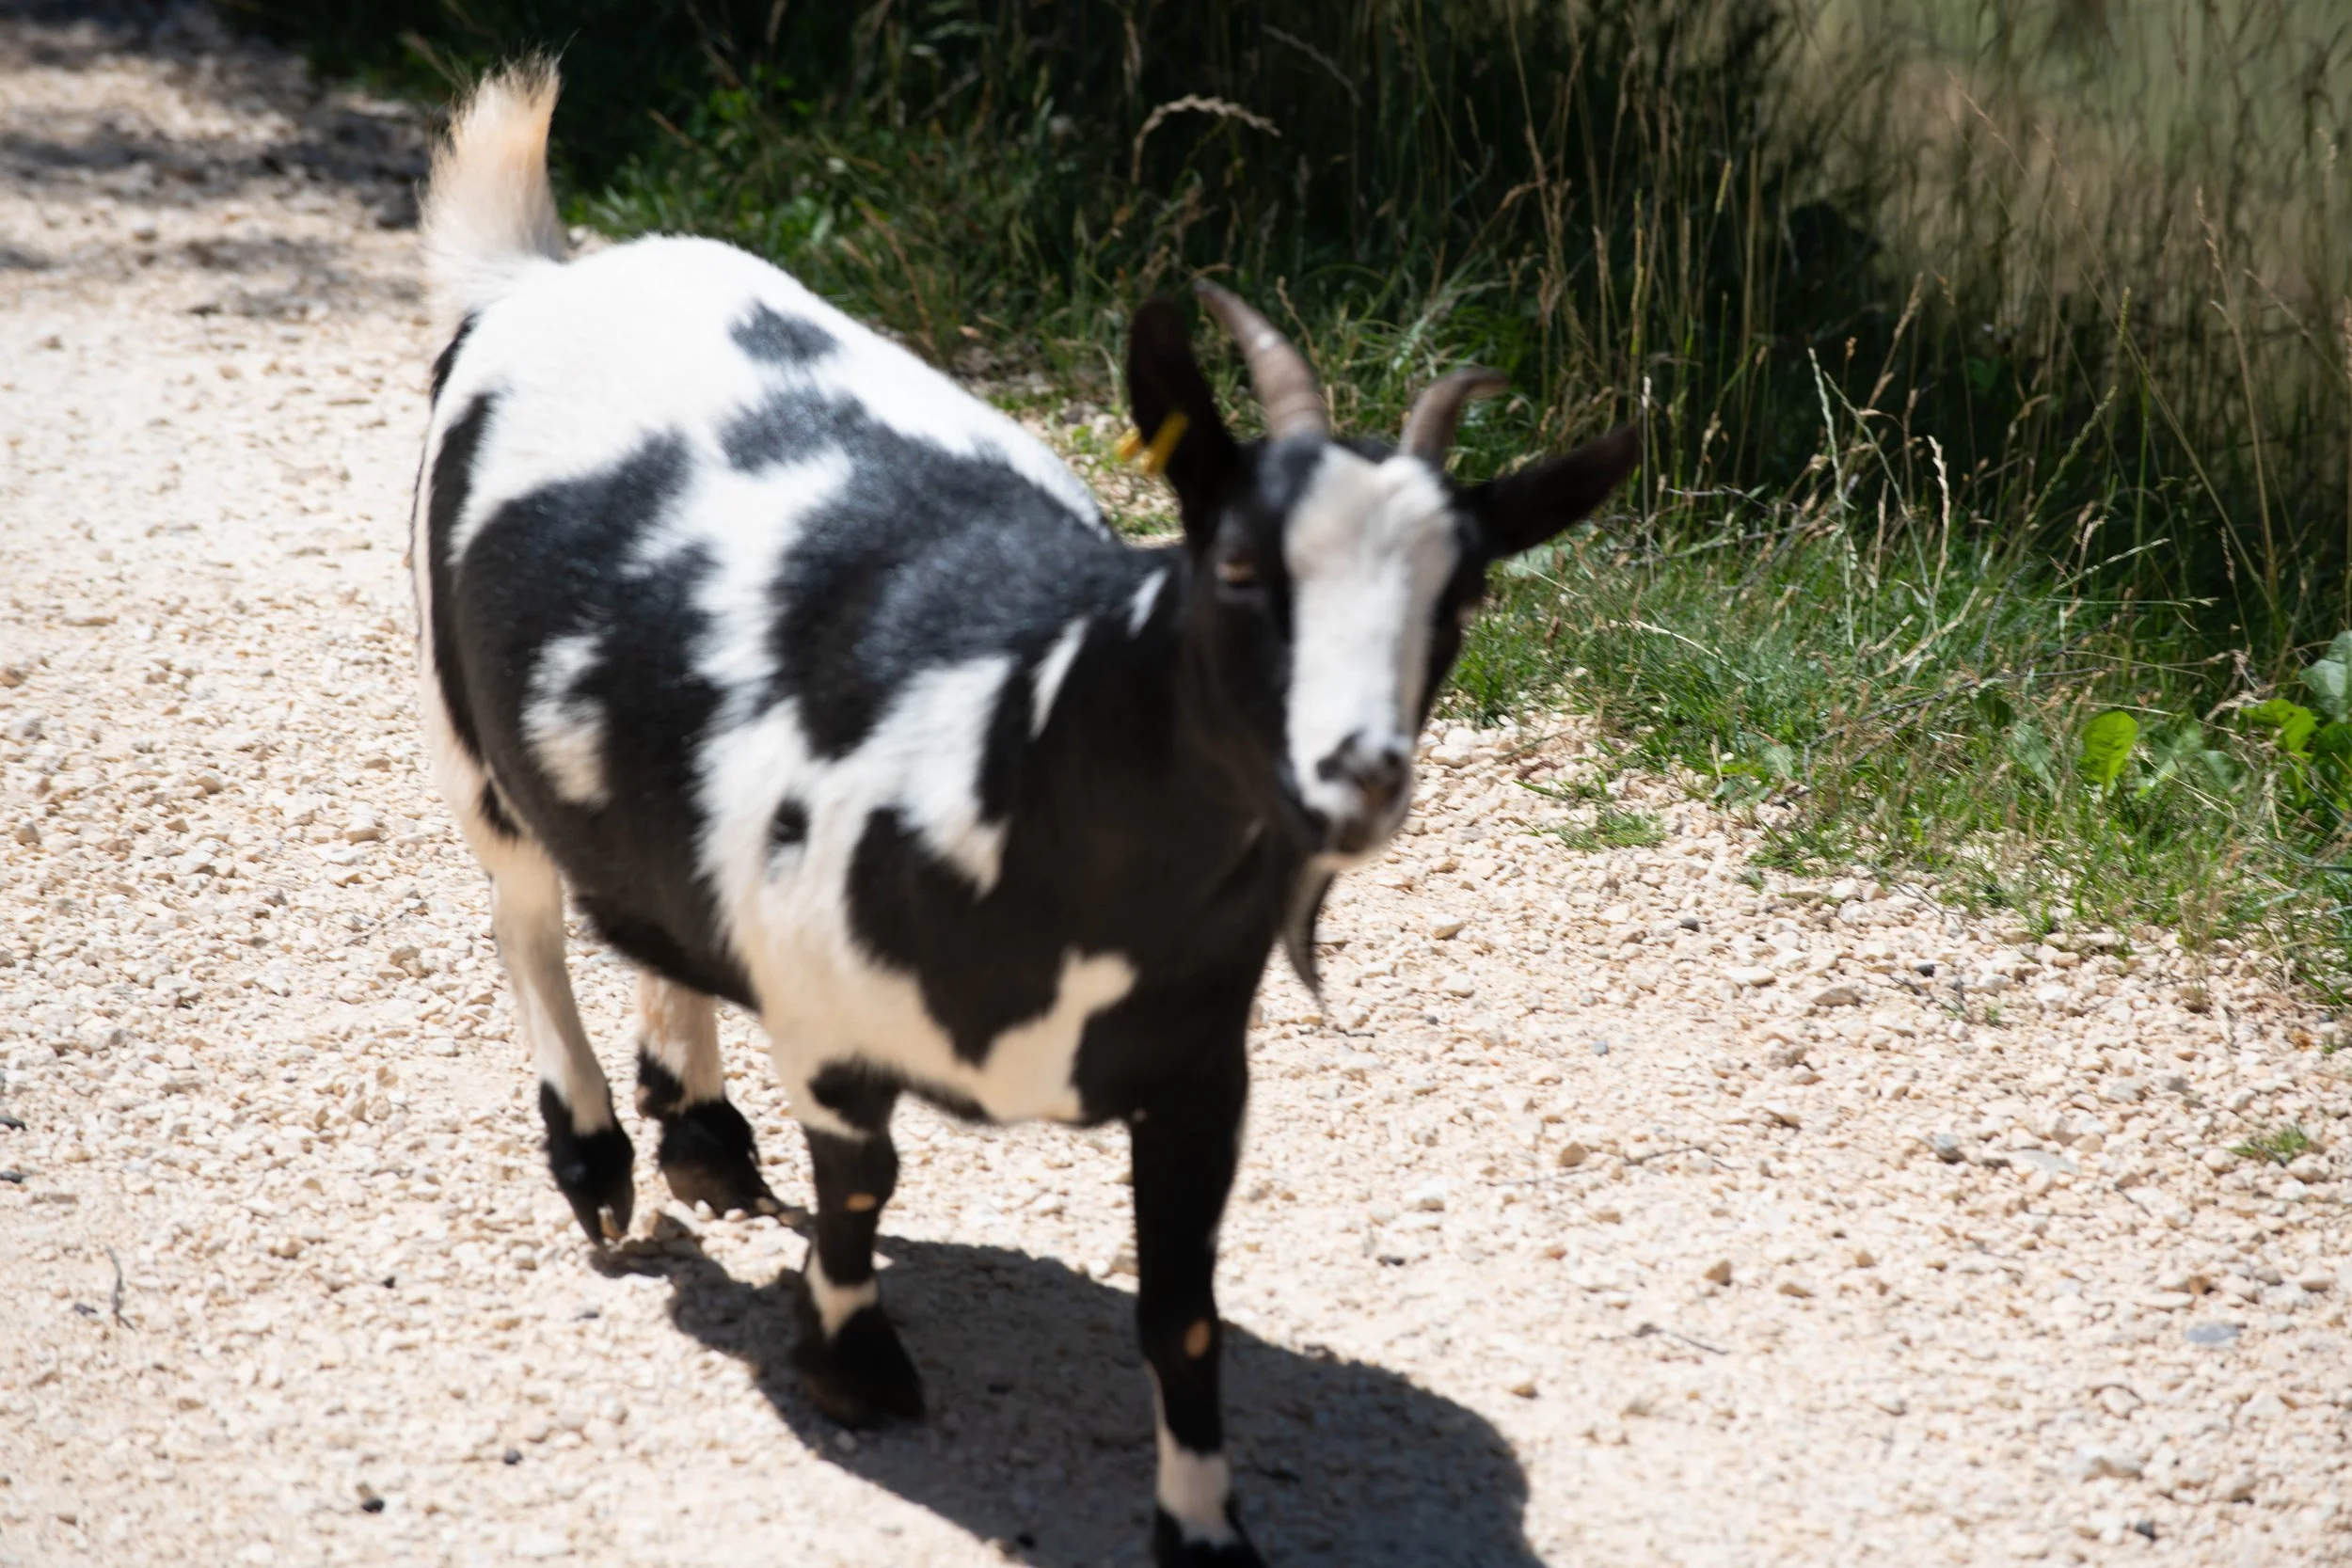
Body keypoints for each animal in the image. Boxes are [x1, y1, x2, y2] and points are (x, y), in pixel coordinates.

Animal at [411, 63, 1635, 1566]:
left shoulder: (1201, 1079)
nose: (1359, 773)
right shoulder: (833, 1027)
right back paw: (596, 1156)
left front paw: (1202, 1523)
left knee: (644, 911)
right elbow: (861, 1193)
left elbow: (1181, 1312)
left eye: (1462, 596)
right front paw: (852, 1366)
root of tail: (540, 273)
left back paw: (698, 1128)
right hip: (469, 726)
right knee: (524, 914)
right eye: (1235, 562)